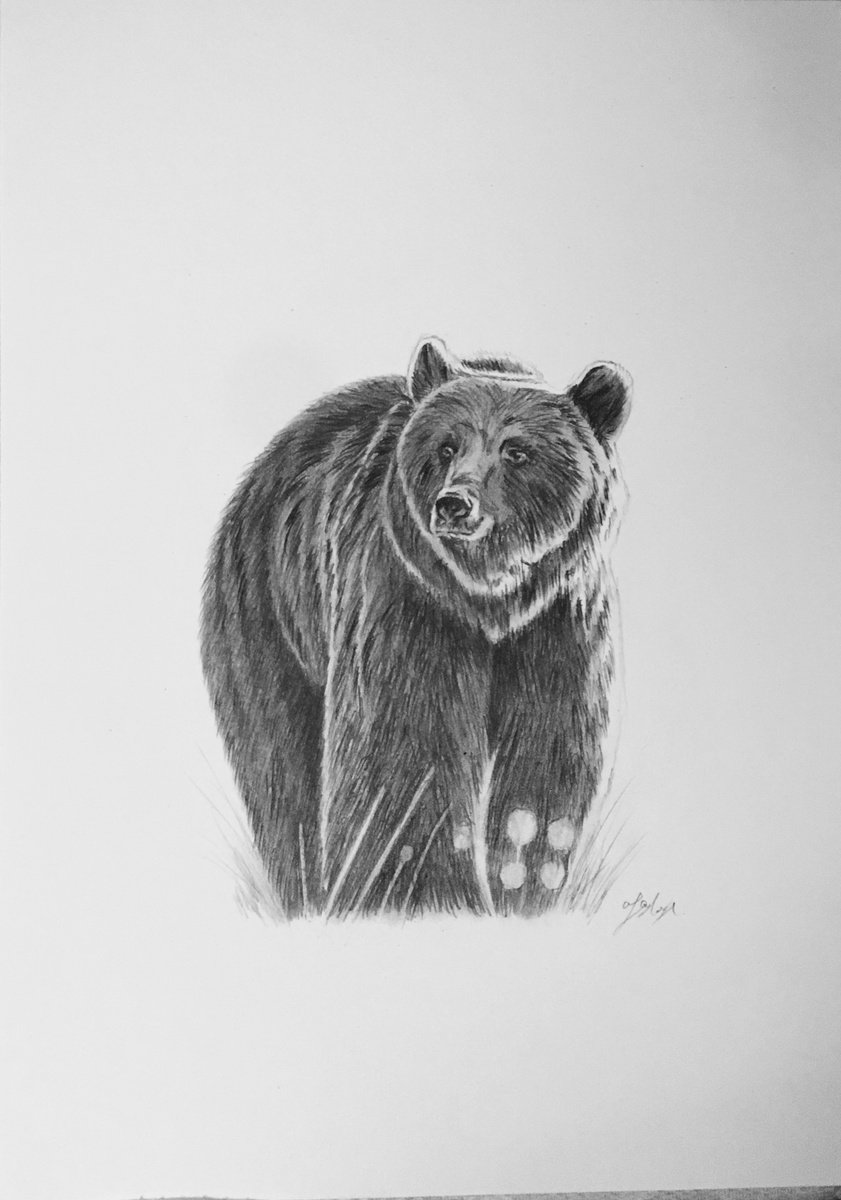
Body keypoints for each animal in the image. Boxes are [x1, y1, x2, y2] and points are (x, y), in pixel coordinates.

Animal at [200, 337, 631, 919]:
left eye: (517, 451)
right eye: (447, 446)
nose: (453, 504)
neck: (489, 601)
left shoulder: (560, 622)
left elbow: (547, 755)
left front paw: (523, 884)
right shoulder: (409, 599)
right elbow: (407, 750)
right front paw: (424, 893)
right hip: (269, 609)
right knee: (278, 763)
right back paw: (304, 891)